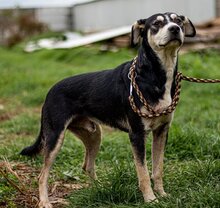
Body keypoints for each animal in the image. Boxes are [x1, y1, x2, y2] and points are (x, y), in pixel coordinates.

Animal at [20, 13, 196, 208]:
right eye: (157, 24)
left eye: (178, 20)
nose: (175, 29)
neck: (155, 75)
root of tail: (50, 92)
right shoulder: (137, 134)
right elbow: (142, 172)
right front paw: (150, 199)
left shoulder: (162, 131)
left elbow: (158, 169)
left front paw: (162, 195)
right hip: (55, 136)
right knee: (42, 175)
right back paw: (45, 202)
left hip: (94, 134)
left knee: (87, 166)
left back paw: (99, 189)